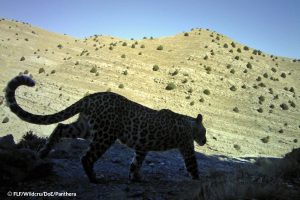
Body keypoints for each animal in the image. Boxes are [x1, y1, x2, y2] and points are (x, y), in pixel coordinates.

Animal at [5, 75, 206, 183]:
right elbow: (193, 165)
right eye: (204, 132)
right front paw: (198, 179)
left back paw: (44, 152)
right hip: (105, 135)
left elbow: (136, 163)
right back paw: (95, 179)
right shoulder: (186, 147)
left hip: (84, 127)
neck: (188, 123)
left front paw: (135, 178)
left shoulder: (142, 147)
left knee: (61, 127)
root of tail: (90, 97)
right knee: (86, 157)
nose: (204, 141)